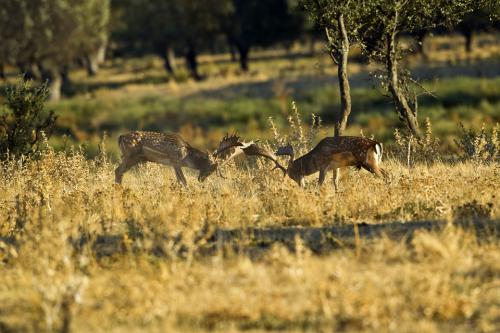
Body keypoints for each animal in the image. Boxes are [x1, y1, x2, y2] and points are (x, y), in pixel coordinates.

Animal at [114, 130, 286, 187]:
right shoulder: (175, 161)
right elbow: (183, 182)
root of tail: (120, 137)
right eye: (209, 165)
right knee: (117, 170)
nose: (201, 178)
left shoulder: (175, 164)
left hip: (135, 158)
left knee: (119, 171)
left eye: (214, 171)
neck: (187, 156)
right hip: (130, 156)